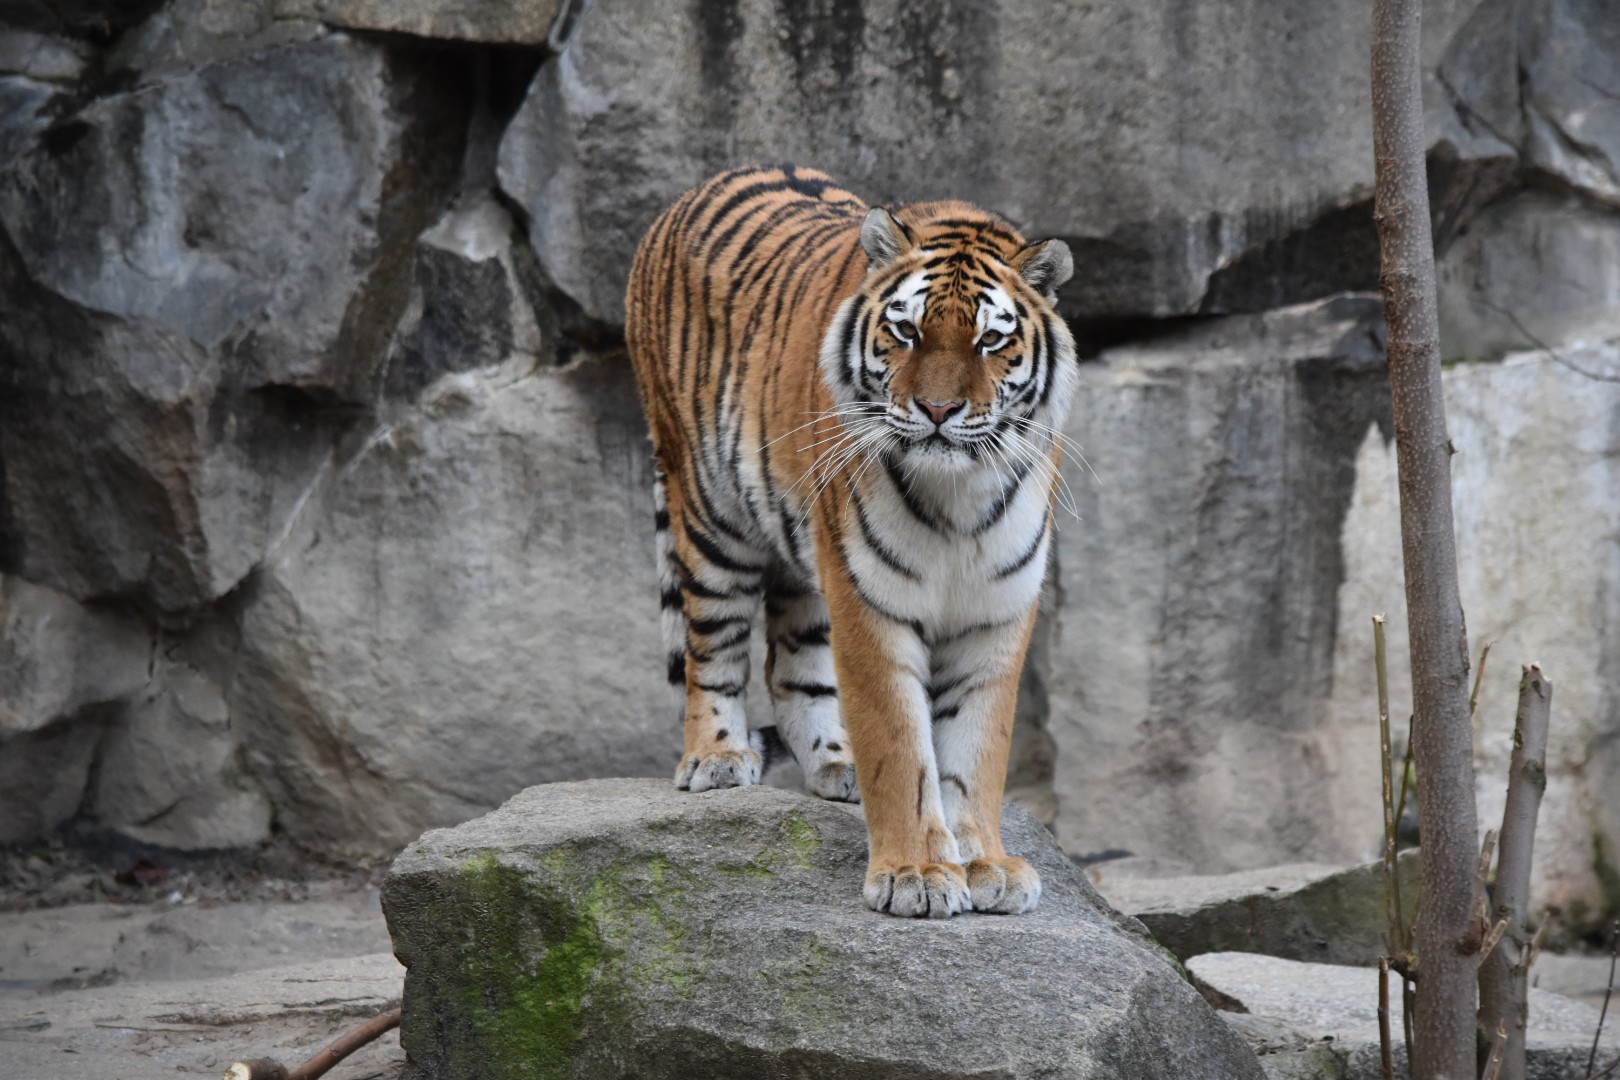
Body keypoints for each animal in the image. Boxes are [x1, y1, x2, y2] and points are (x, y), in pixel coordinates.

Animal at [624, 164, 1077, 919]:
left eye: (989, 341)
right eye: (906, 330)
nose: (938, 410)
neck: (959, 494)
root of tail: (690, 194)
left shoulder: (996, 612)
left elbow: (975, 752)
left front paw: (986, 863)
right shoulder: (872, 601)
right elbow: (900, 743)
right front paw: (917, 874)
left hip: (805, 552)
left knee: (792, 669)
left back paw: (836, 764)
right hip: (711, 517)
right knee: (711, 653)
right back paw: (717, 756)